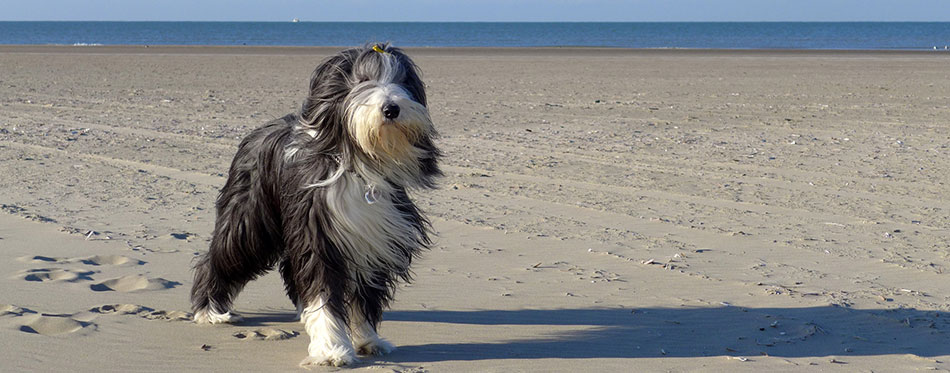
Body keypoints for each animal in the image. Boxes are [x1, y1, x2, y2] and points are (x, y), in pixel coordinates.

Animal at [193, 44, 446, 366]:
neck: (361, 165)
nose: (392, 109)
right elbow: (323, 291)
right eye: (362, 80)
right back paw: (209, 310)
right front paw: (331, 348)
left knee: (291, 269)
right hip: (249, 219)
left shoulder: (375, 239)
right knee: (220, 256)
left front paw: (369, 341)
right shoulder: (319, 235)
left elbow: (364, 299)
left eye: (403, 81)